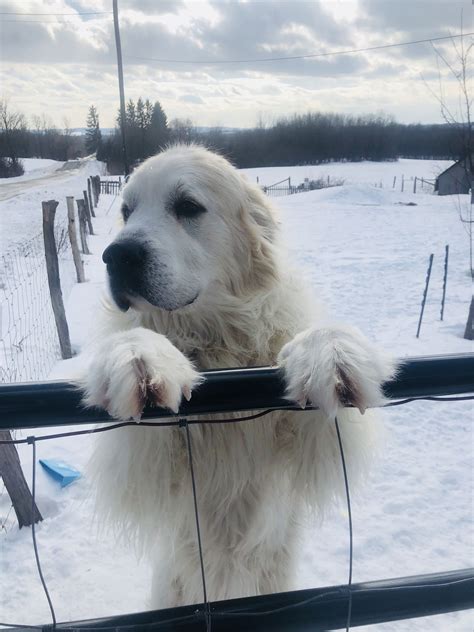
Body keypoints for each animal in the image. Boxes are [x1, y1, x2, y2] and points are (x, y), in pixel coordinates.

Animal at [79, 146, 394, 608]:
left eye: (187, 206)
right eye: (127, 210)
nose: (116, 255)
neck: (218, 342)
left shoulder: (315, 445)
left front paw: (332, 351)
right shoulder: (147, 464)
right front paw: (138, 355)